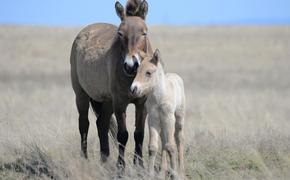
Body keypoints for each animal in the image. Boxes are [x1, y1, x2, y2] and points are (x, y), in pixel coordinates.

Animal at [69, 0, 152, 172]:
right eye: (120, 33)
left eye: (144, 33)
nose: (131, 65)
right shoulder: (120, 103)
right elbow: (123, 135)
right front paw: (121, 167)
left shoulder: (142, 103)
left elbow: (139, 134)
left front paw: (139, 166)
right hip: (81, 95)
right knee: (84, 124)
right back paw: (85, 159)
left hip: (107, 101)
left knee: (102, 123)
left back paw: (104, 159)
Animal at [130, 48, 185, 179]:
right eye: (137, 71)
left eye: (148, 73)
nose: (133, 89)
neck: (159, 98)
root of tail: (175, 76)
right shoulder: (153, 119)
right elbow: (153, 147)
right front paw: (150, 174)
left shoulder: (169, 118)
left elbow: (171, 147)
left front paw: (175, 175)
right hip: (161, 123)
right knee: (163, 141)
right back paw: (161, 172)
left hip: (178, 118)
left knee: (179, 139)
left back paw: (181, 171)